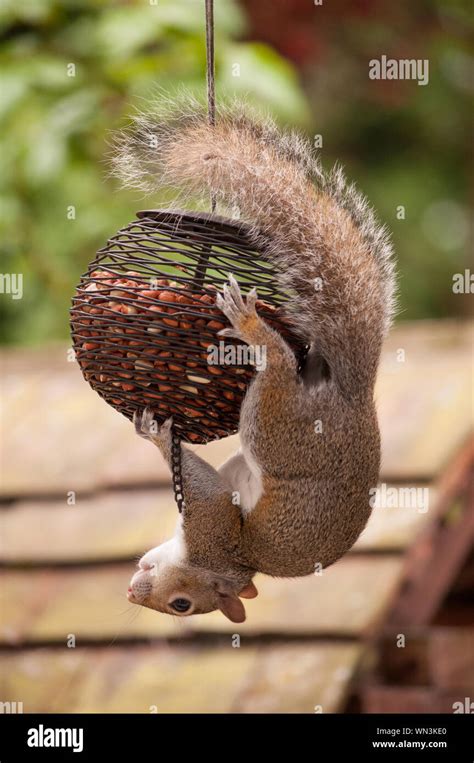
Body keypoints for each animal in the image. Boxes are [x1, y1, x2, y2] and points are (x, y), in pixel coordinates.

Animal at [115, 97, 396, 620]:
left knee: (280, 365)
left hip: (276, 426)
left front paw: (160, 438)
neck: (232, 563)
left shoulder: (215, 529)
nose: (131, 594)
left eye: (181, 605)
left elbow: (203, 493)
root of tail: (354, 400)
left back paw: (251, 327)